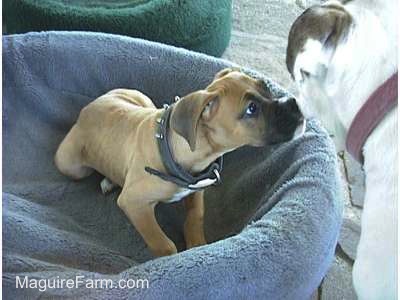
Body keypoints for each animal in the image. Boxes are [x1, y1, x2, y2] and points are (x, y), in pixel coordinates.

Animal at [54, 69, 304, 256]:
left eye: (266, 87)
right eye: (251, 109)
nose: (295, 104)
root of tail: (87, 108)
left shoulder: (198, 187)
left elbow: (196, 216)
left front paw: (197, 245)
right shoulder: (134, 204)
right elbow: (163, 244)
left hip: (143, 100)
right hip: (70, 165)